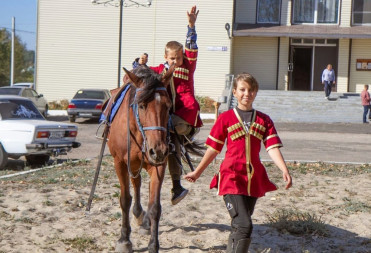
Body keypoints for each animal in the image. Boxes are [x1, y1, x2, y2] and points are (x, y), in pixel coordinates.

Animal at [107, 64, 176, 252]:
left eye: (168, 106)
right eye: (142, 106)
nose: (158, 150)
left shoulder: (159, 164)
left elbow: (154, 207)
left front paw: (153, 245)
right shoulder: (119, 163)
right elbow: (125, 200)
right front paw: (124, 239)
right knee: (135, 184)